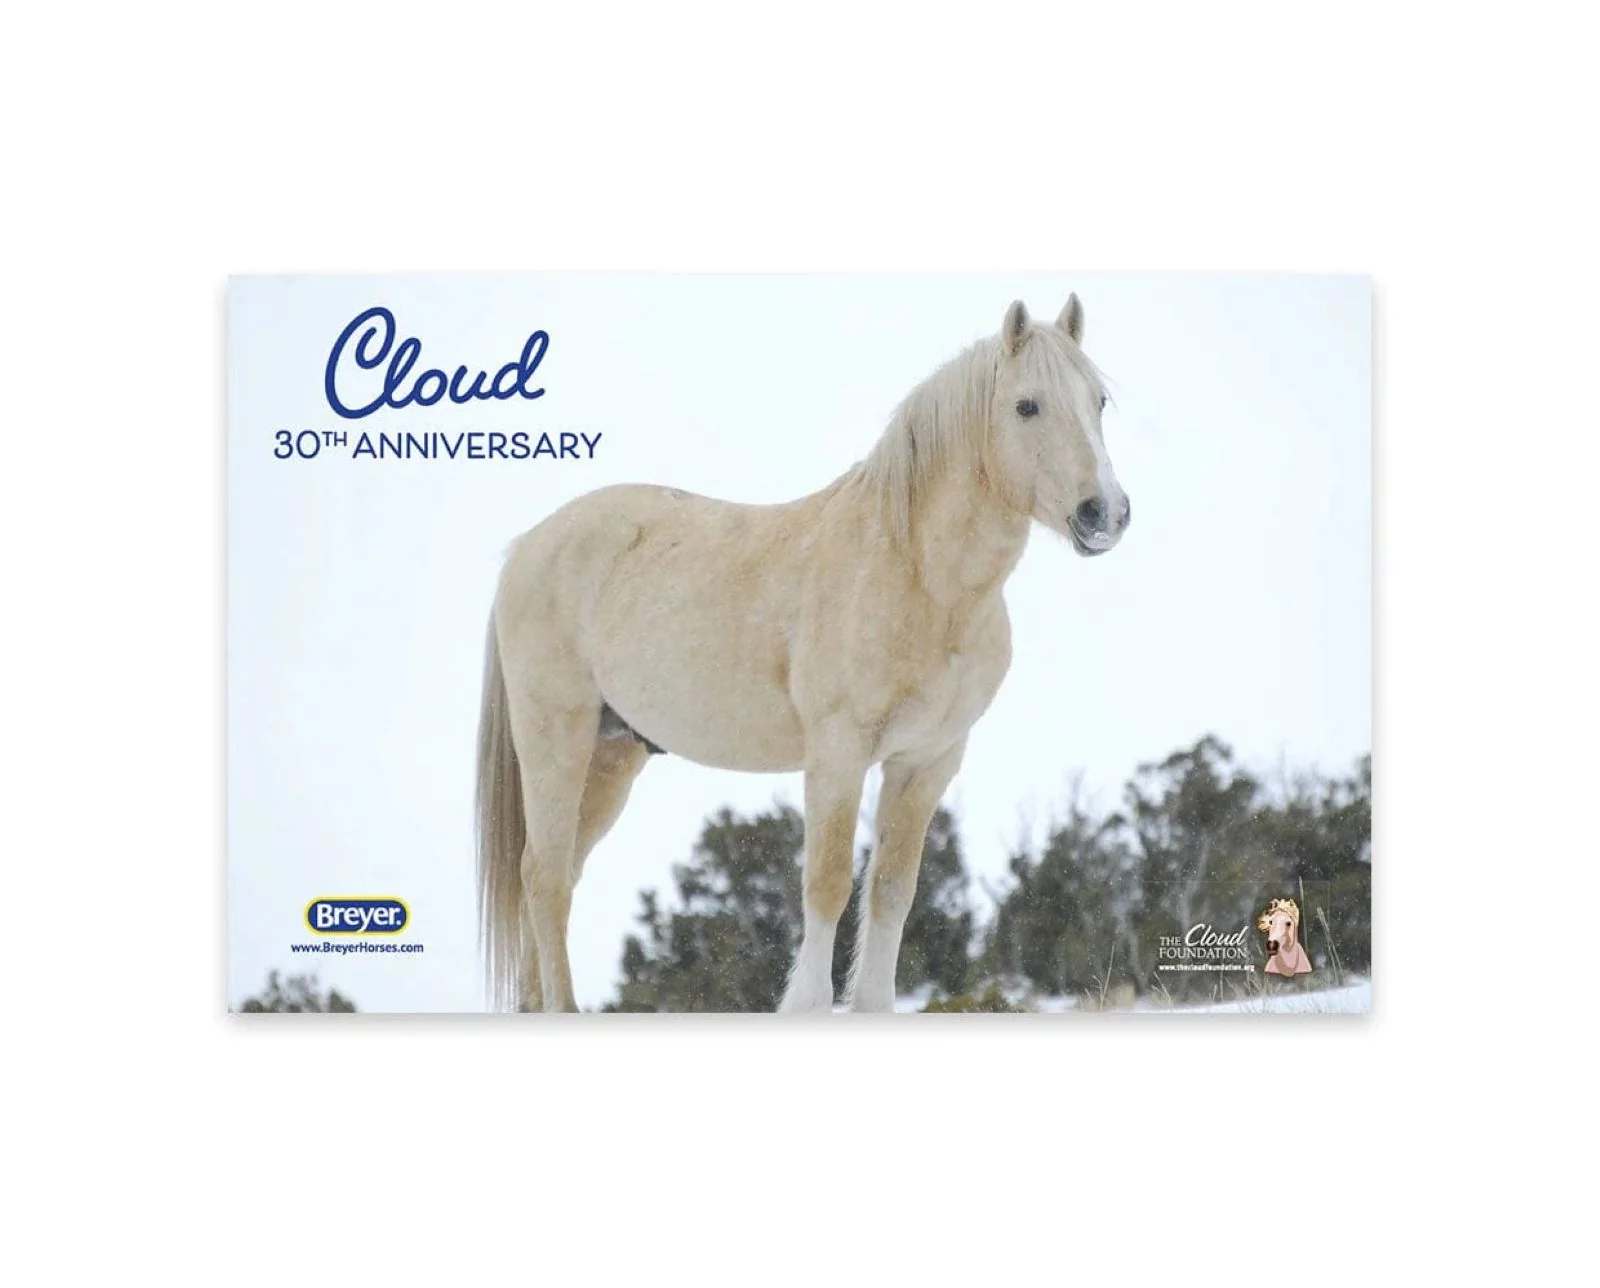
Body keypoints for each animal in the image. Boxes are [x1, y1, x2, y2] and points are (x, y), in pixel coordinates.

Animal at [476, 295, 1131, 1012]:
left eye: (1099, 400)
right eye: (1026, 406)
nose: (1105, 514)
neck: (919, 580)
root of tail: (528, 546)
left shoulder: (927, 761)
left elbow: (892, 891)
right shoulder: (839, 754)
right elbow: (828, 883)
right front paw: (809, 1004)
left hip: (613, 753)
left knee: (553, 873)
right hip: (556, 741)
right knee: (545, 879)